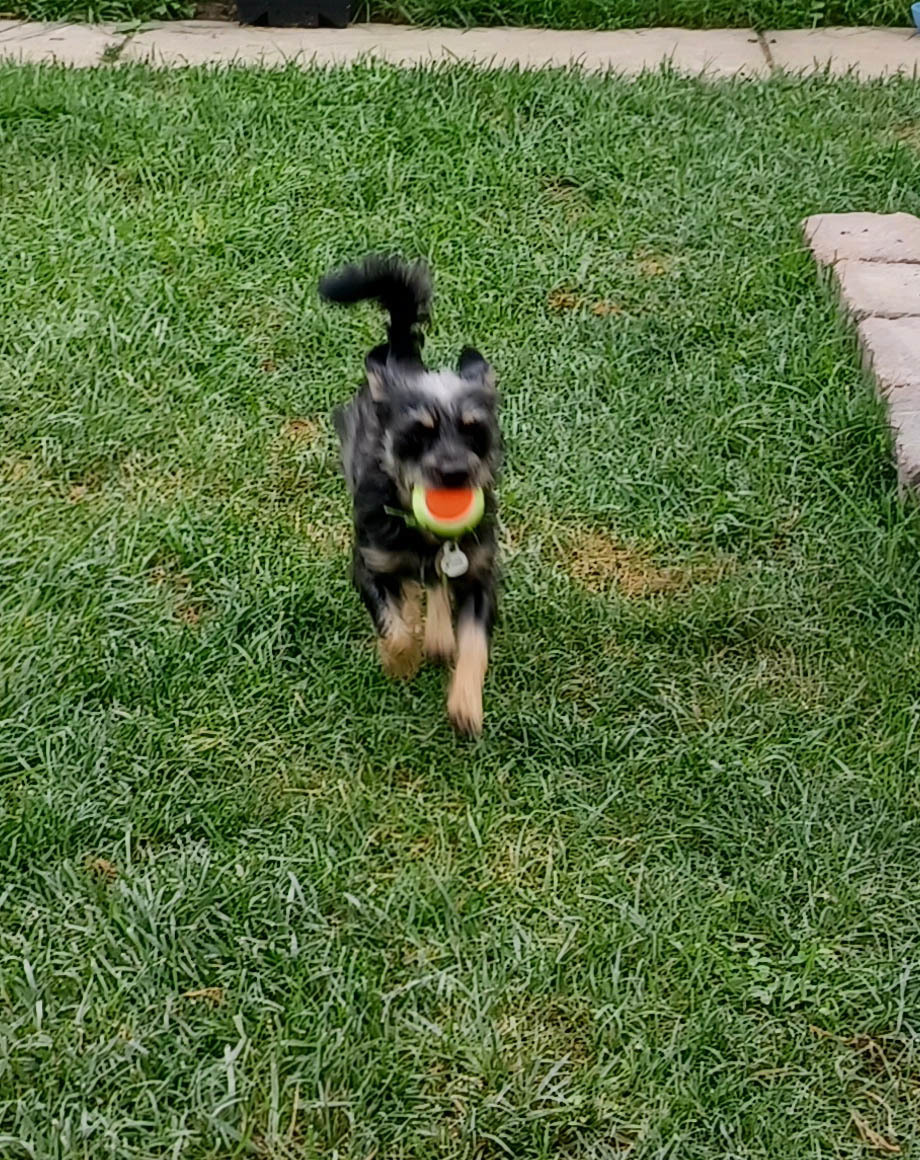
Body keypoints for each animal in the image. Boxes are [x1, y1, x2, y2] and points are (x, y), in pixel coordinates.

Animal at [317, 256, 503, 733]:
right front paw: (399, 661)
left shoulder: (478, 572)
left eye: (475, 431)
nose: (454, 474)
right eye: (416, 435)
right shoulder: (369, 565)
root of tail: (401, 355)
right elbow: (395, 625)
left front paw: (465, 704)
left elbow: (474, 644)